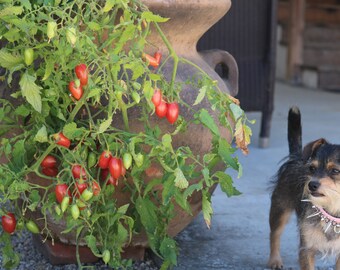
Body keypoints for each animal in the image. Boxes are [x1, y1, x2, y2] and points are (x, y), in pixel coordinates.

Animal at [266, 106, 340, 268]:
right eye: (312, 168)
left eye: (335, 171)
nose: (311, 185)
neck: (333, 208)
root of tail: (296, 157)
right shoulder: (307, 248)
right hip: (279, 210)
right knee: (274, 234)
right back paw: (274, 260)